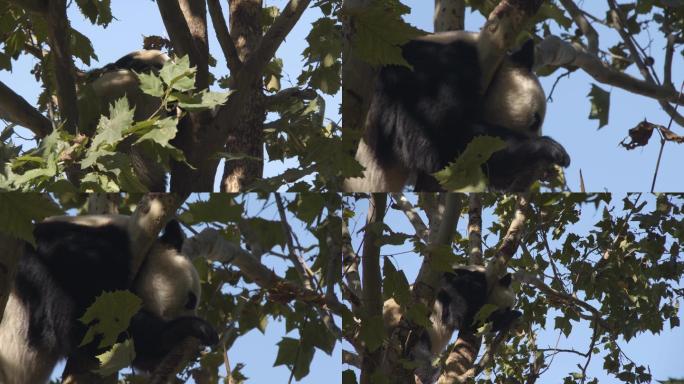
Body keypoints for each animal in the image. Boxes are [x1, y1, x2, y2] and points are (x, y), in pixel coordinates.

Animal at [382, 266, 520, 382]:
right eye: (506, 307)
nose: (507, 311)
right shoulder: (458, 287)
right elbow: (470, 319)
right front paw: (514, 314)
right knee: (419, 357)